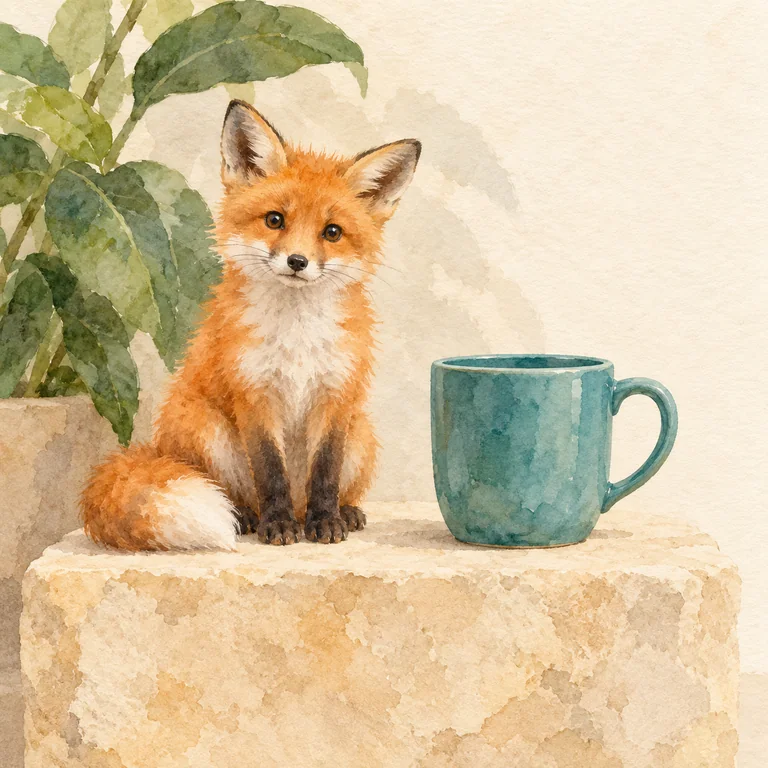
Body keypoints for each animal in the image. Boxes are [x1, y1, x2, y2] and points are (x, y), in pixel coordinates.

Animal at [81, 100, 420, 551]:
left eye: (332, 232)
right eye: (274, 220)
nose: (297, 261)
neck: (296, 335)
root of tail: (157, 449)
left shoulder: (336, 395)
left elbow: (326, 473)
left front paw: (326, 522)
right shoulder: (253, 393)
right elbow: (270, 472)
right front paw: (279, 526)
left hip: (361, 433)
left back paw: (341, 513)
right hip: (205, 428)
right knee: (239, 495)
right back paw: (250, 518)